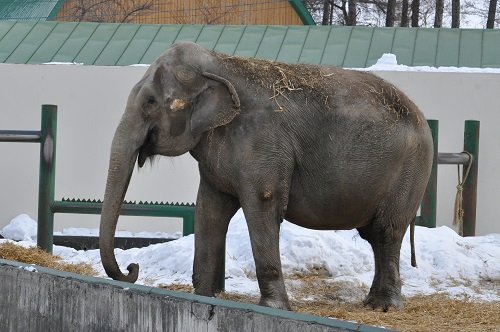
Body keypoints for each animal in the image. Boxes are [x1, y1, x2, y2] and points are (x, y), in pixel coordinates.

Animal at [98, 40, 434, 312]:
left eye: (150, 102)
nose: (132, 266)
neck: (220, 63)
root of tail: (421, 115)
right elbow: (209, 210)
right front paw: (204, 298)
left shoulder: (263, 144)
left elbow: (262, 205)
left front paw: (273, 308)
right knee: (375, 236)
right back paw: (371, 304)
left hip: (411, 170)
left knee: (386, 232)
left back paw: (383, 308)